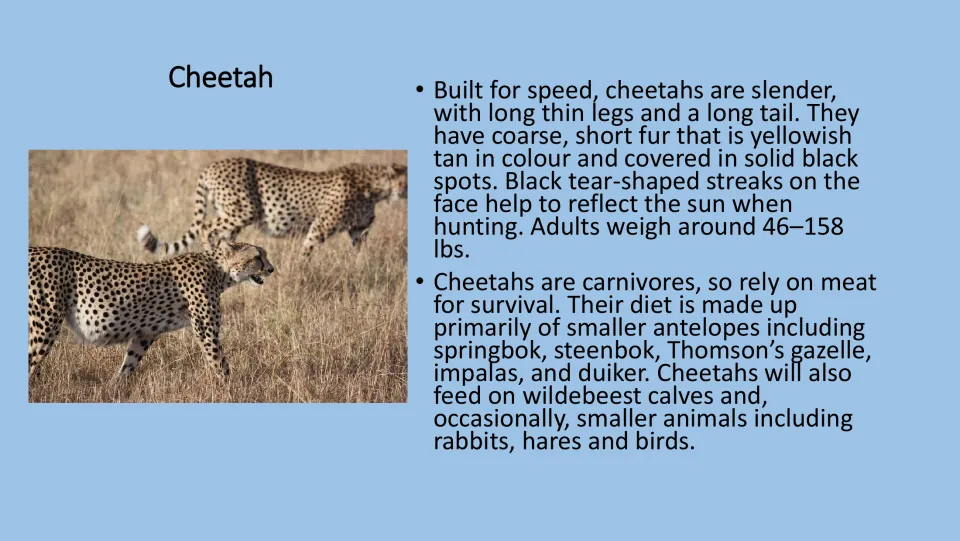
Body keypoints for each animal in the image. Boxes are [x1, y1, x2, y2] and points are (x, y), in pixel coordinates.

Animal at [27, 240, 274, 381]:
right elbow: (220, 363)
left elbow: (129, 363)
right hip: (44, 325)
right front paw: (231, 390)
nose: (271, 269)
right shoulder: (206, 332)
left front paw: (114, 388)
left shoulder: (146, 333)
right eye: (257, 257)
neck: (220, 270)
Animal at [136, 158, 408, 258]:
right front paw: (301, 269)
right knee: (206, 227)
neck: (375, 187)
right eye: (404, 181)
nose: (406, 191)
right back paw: (210, 253)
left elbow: (361, 250)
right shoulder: (320, 226)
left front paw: (365, 264)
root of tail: (212, 165)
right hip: (243, 210)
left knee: (221, 234)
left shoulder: (357, 230)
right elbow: (307, 250)